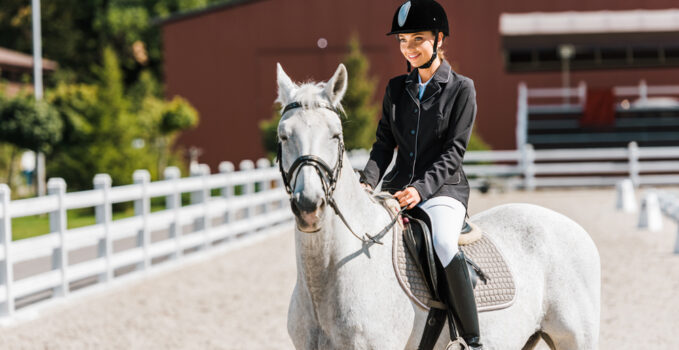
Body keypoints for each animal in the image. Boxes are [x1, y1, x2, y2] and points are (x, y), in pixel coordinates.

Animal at [276, 63, 600, 350]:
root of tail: (571, 226)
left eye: (335, 134)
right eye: (283, 135)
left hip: (576, 340)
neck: (325, 279)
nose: (309, 205)